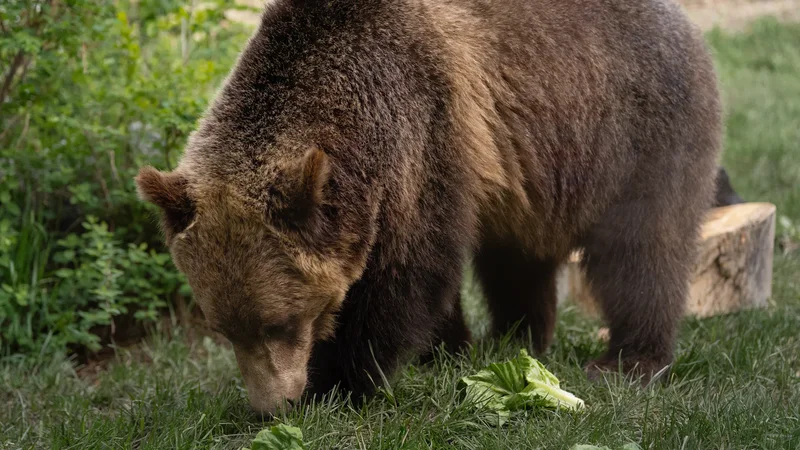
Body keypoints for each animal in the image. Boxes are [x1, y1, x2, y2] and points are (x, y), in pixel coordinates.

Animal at [135, 0, 722, 414]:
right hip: (535, 173)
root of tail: (685, 21)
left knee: (643, 249)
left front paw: (341, 382)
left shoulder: (424, 136)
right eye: (222, 327)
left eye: (281, 322)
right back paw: (515, 337)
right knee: (516, 260)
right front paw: (446, 351)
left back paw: (629, 359)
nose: (271, 405)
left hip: (634, 129)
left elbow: (405, 275)